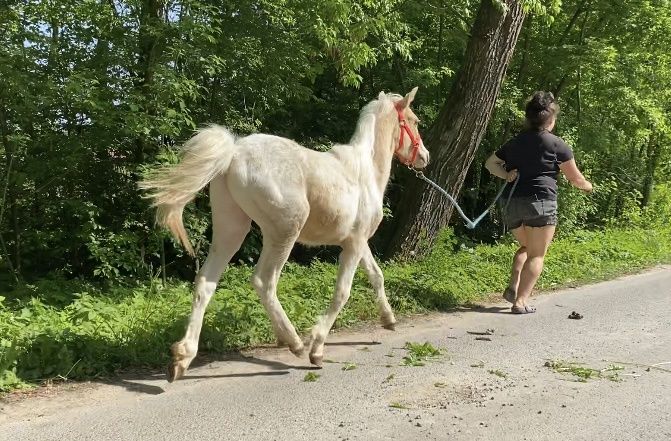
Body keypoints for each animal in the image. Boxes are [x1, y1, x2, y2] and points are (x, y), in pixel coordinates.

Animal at [140, 87, 430, 382]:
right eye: (415, 120)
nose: (425, 157)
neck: (365, 170)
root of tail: (234, 152)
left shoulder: (356, 242)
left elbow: (376, 275)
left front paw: (389, 320)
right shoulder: (354, 244)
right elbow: (343, 292)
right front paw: (317, 347)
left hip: (231, 230)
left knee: (205, 282)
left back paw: (182, 358)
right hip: (283, 233)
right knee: (264, 281)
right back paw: (295, 343)